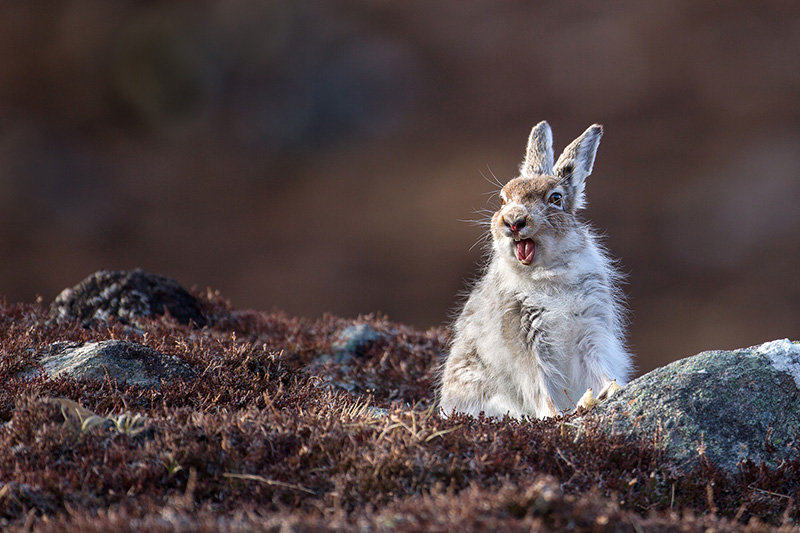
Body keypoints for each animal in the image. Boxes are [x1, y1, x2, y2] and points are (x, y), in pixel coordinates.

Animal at [439, 121, 632, 419]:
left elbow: (596, 365)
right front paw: (555, 415)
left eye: (555, 198)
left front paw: (608, 390)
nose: (513, 221)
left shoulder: (591, 329)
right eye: (503, 199)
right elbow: (539, 385)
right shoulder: (524, 338)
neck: (547, 273)